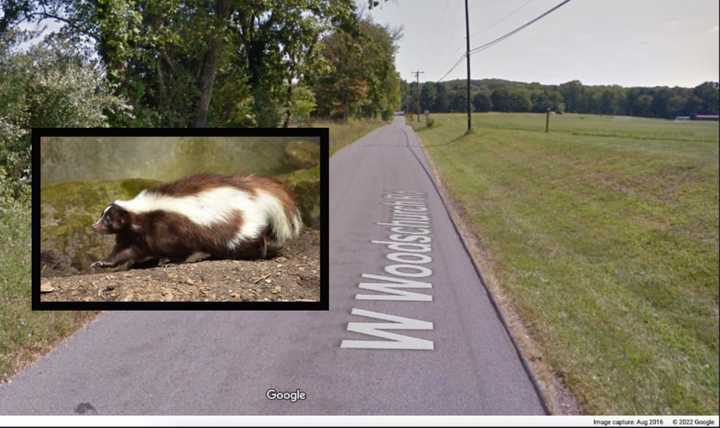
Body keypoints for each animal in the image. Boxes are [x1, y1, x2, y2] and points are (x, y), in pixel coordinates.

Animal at [90, 173, 304, 268]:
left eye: (108, 219)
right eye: (103, 215)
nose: (94, 226)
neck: (139, 213)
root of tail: (250, 192)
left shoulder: (168, 226)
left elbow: (177, 248)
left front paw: (169, 261)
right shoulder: (132, 234)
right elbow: (124, 251)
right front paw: (102, 263)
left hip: (234, 222)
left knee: (244, 239)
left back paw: (260, 253)